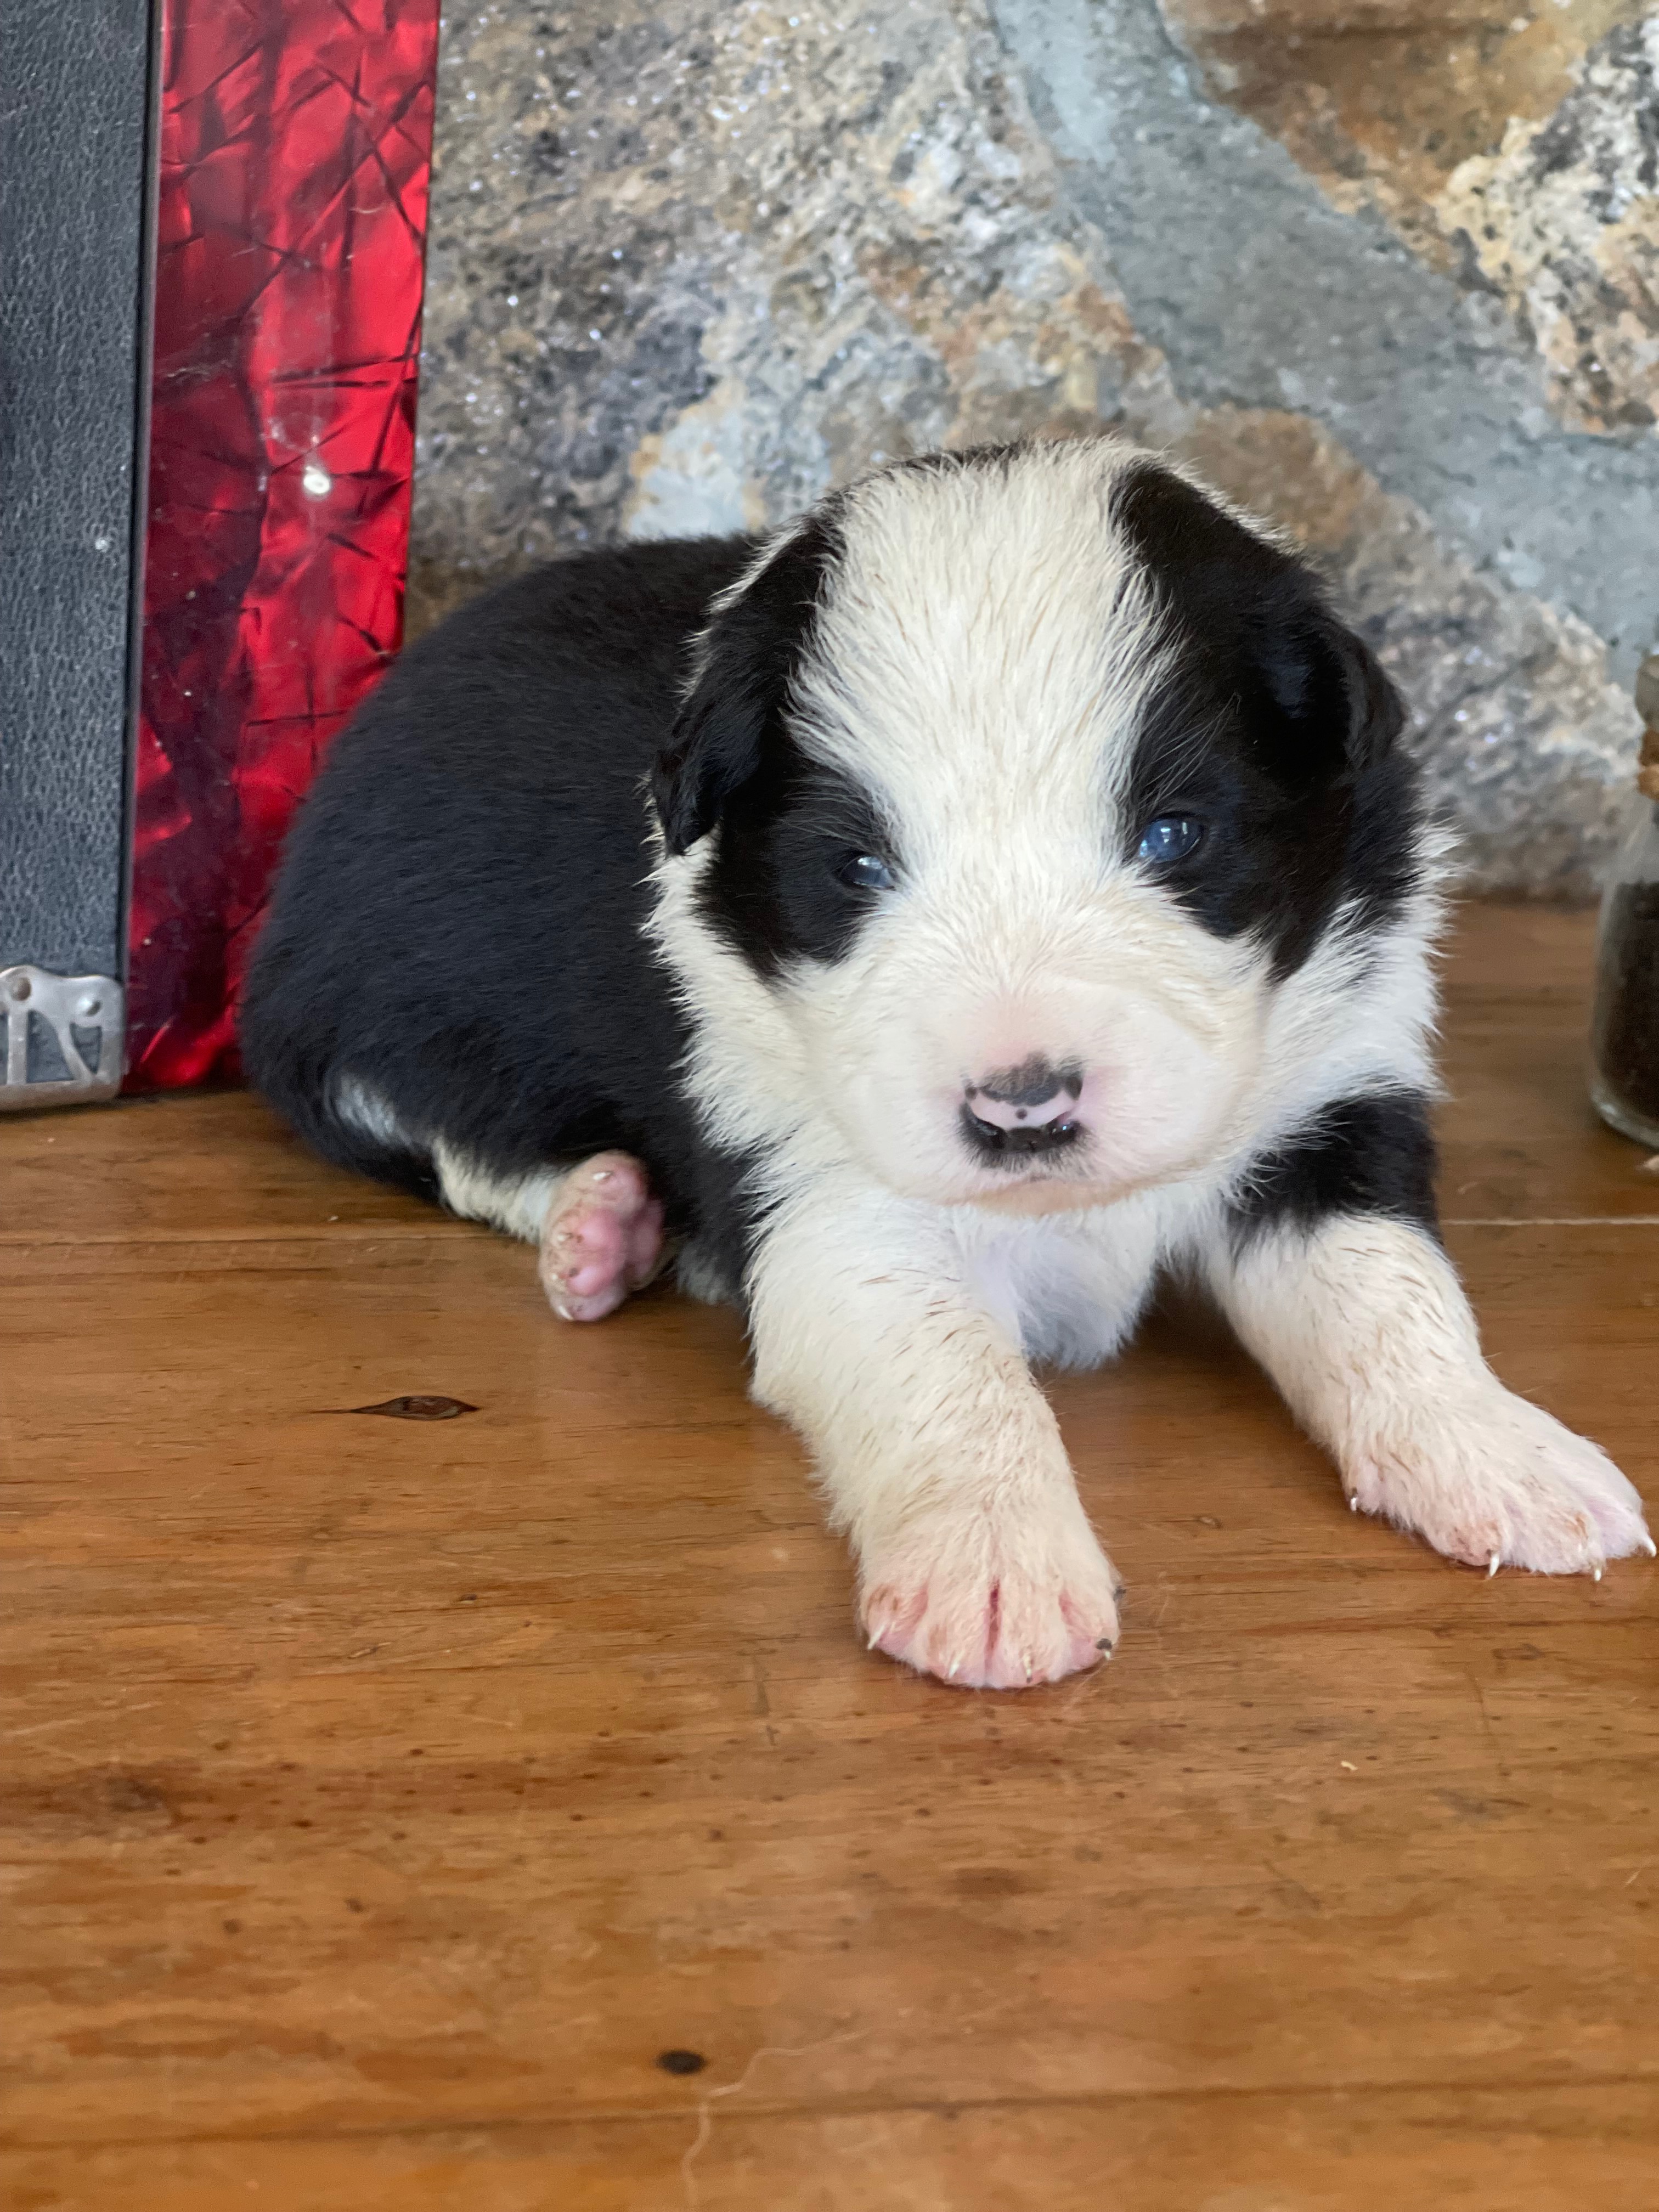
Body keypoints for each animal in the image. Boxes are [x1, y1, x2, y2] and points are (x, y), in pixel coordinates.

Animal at [240, 431, 1654, 1681]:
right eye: (857, 865)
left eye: (1175, 833)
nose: (1023, 1107)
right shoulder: (832, 1199)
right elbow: (954, 1372)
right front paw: (994, 1565)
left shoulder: (1333, 1097)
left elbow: (1394, 1295)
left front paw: (1494, 1447)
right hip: (354, 1007)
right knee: (443, 1139)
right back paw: (601, 1222)